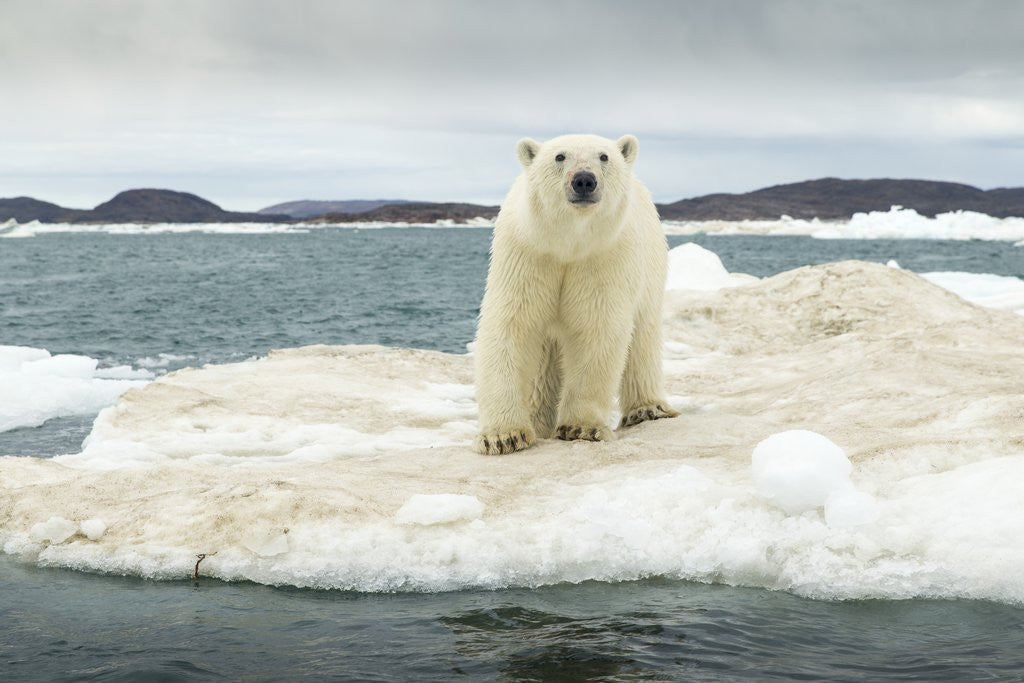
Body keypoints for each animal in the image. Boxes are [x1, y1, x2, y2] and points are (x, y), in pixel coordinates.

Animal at [474, 133, 678, 455]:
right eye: (559, 156)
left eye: (604, 157)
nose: (584, 180)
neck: (568, 244)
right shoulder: (526, 254)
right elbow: (513, 325)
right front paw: (505, 436)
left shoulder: (604, 257)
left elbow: (596, 328)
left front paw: (581, 427)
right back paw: (538, 420)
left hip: (650, 272)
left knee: (642, 337)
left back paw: (647, 409)